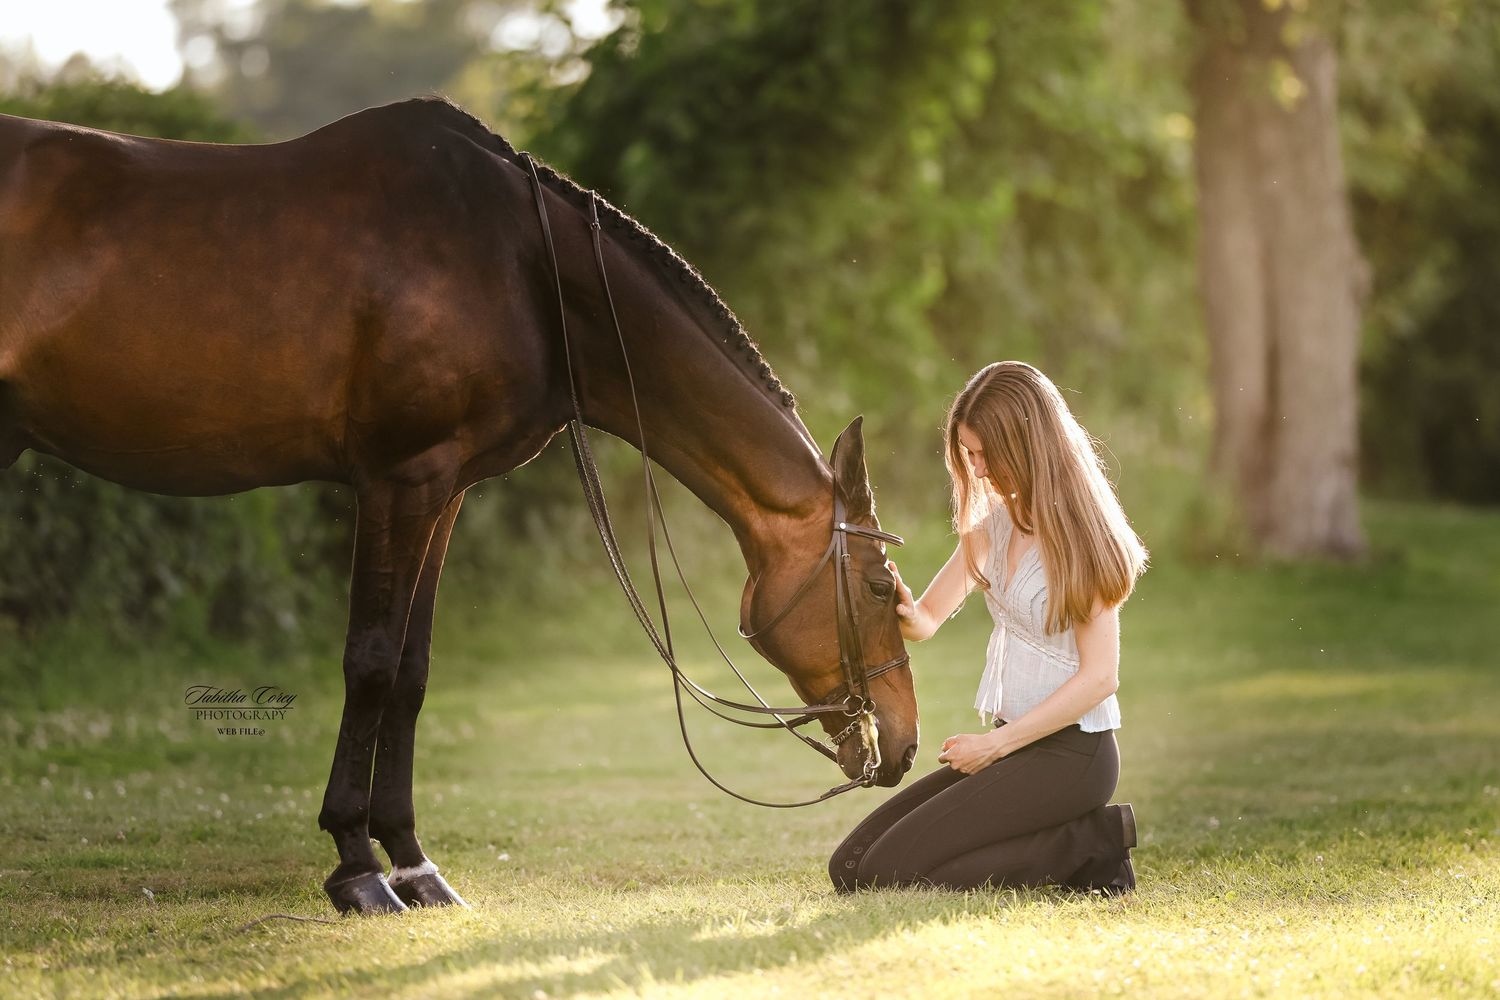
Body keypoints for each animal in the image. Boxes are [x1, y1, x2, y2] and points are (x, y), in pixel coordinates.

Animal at [0, 97, 920, 915]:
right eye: (879, 587)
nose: (904, 743)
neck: (523, 266)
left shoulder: (445, 493)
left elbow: (410, 673)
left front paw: (413, 864)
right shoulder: (399, 481)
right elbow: (370, 664)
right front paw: (357, 868)